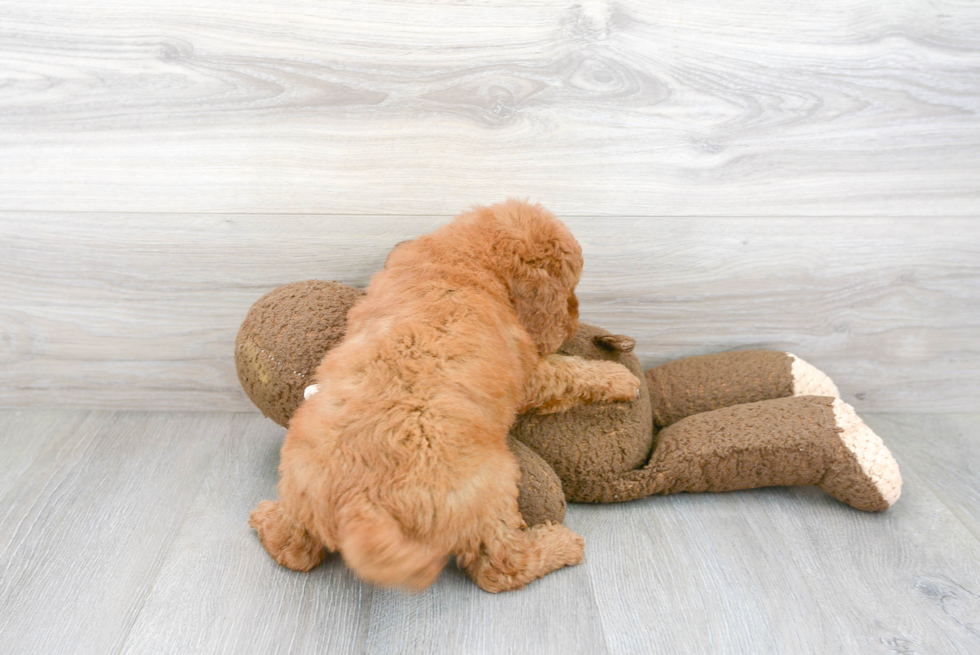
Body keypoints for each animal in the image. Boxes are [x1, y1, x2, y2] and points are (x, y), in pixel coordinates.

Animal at [249, 200, 640, 596]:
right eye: (569, 288)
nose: (573, 323)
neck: (466, 260)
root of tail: (362, 508)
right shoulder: (528, 373)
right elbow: (568, 372)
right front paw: (621, 378)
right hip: (493, 485)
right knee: (502, 566)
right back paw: (561, 544)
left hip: (300, 488)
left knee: (292, 549)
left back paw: (263, 518)